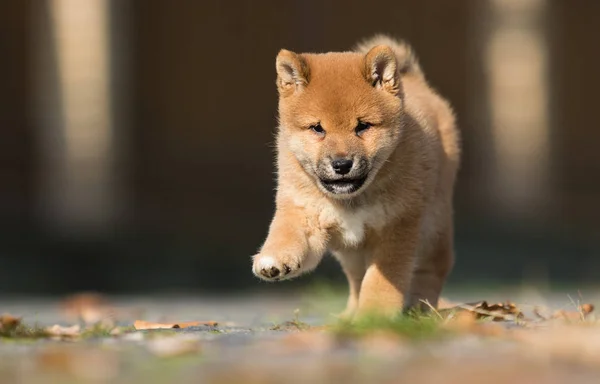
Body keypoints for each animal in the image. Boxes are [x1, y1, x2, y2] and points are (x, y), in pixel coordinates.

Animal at [251, 36, 462, 318]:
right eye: (317, 128)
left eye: (362, 126)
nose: (342, 164)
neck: (352, 200)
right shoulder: (304, 212)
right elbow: (286, 234)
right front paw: (273, 259)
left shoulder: (398, 229)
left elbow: (381, 282)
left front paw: (374, 316)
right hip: (350, 251)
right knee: (355, 281)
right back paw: (350, 316)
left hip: (433, 228)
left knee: (431, 271)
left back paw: (421, 310)